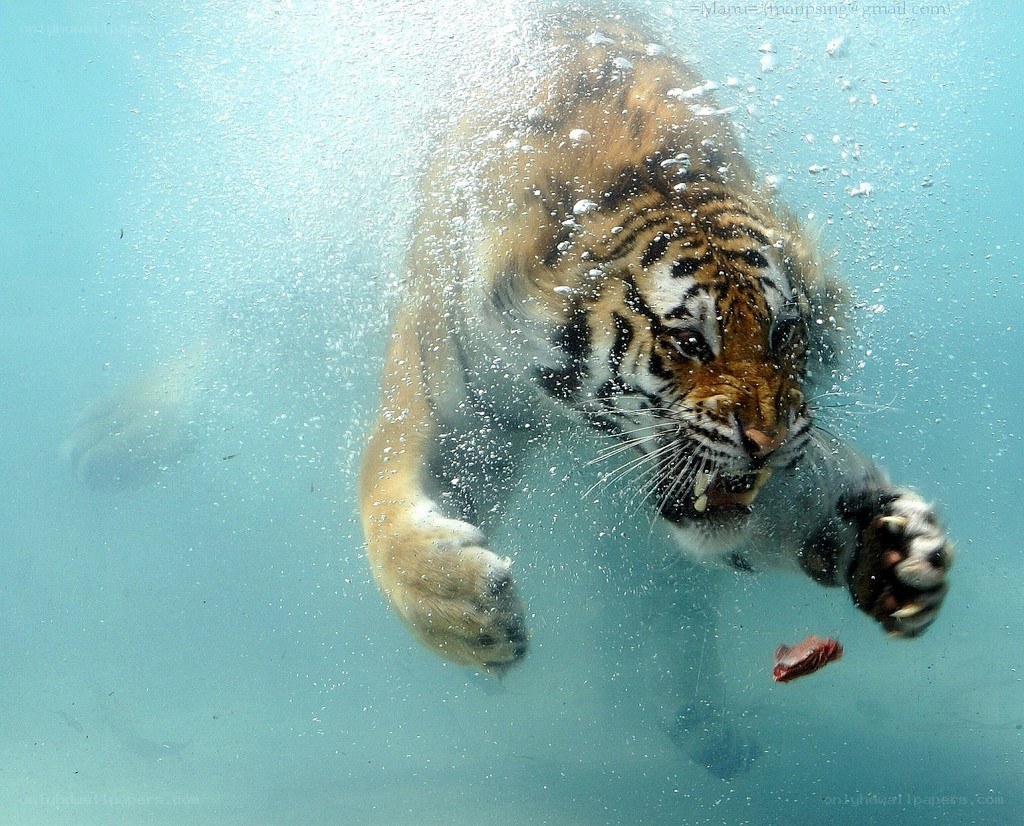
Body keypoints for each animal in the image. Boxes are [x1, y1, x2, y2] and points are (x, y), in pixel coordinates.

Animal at [358, 11, 952, 714]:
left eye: (783, 333)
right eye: (692, 343)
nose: (770, 442)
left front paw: (893, 550)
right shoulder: (451, 401)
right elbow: (384, 503)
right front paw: (466, 609)